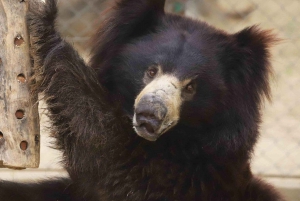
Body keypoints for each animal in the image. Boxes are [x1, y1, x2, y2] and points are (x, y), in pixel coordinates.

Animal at [0, 0, 286, 200]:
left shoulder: (191, 172)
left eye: (191, 87)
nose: (150, 115)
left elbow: (110, 155)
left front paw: (43, 18)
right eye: (151, 70)